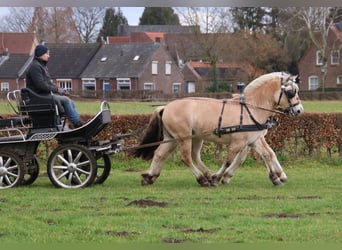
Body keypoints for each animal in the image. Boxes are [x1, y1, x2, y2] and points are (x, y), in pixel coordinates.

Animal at [132, 71, 304, 187]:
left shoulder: (254, 139)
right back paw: (202, 178)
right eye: (291, 92)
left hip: (176, 138)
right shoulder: (239, 142)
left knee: (161, 154)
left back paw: (150, 177)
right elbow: (229, 160)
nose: (299, 110)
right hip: (183, 137)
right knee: (186, 158)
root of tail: (166, 107)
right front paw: (218, 178)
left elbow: (267, 154)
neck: (251, 107)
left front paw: (277, 177)